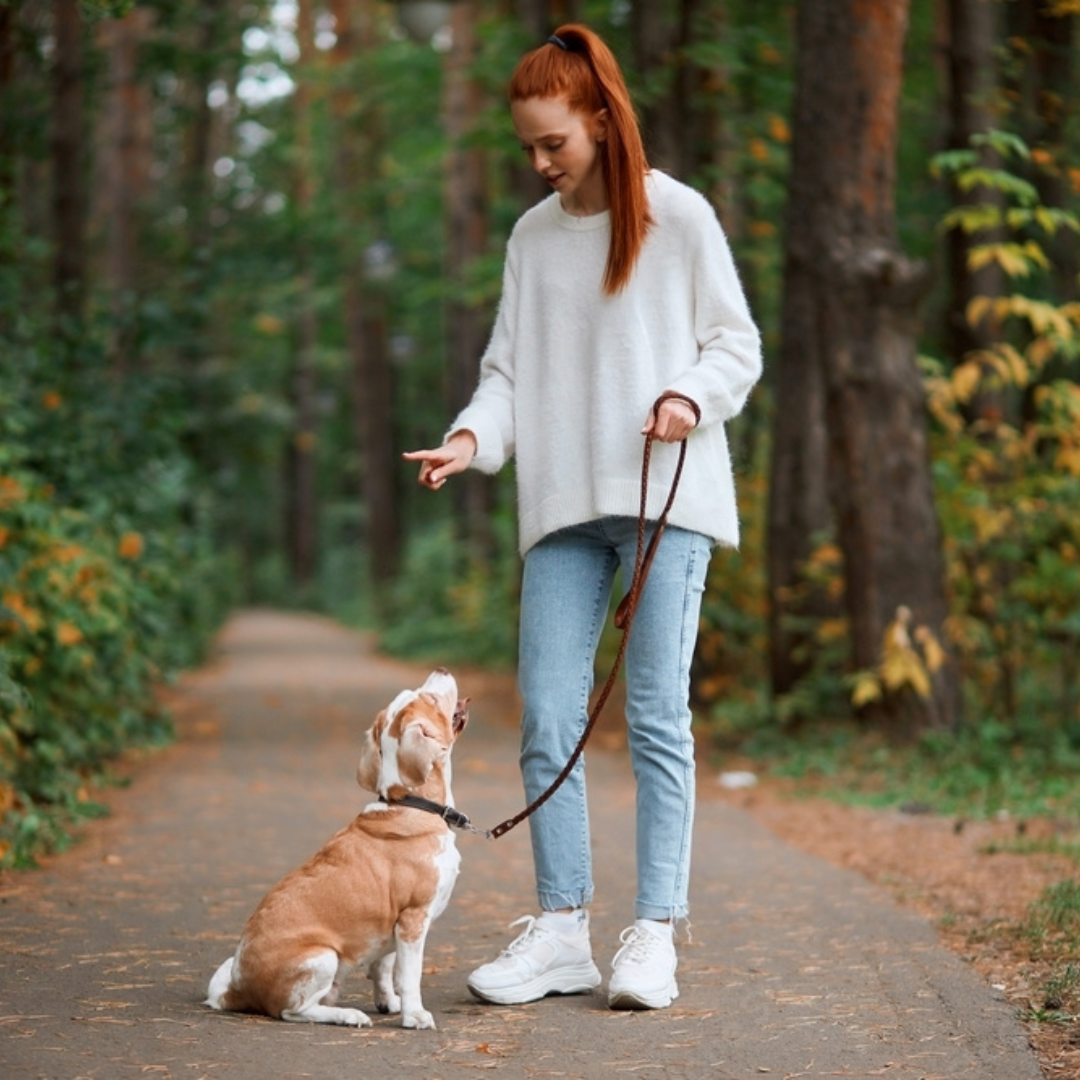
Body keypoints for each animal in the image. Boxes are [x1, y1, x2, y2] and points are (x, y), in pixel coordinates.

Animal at [206, 665, 468, 1028]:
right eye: (429, 698)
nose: (441, 669)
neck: (413, 803)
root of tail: (237, 989)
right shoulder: (413, 921)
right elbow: (409, 976)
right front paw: (414, 1015)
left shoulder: (391, 929)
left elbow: (383, 968)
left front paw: (389, 1003)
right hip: (323, 957)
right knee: (294, 1011)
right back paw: (347, 1015)